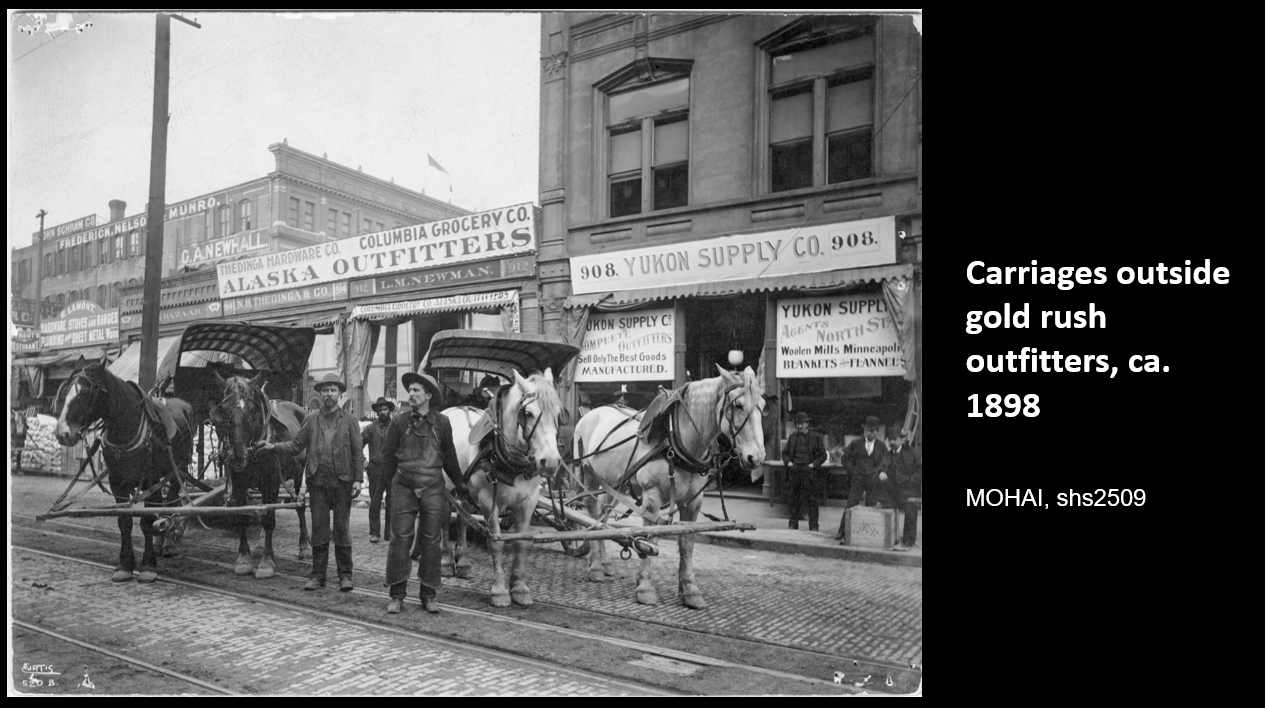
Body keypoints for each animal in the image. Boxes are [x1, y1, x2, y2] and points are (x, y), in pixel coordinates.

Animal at [54, 354, 193, 581]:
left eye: (84, 392)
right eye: (65, 392)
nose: (62, 433)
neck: (127, 426)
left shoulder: (151, 481)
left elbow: (146, 521)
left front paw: (148, 565)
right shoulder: (117, 481)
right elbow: (124, 521)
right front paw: (125, 564)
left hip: (177, 470)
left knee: (173, 503)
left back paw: (168, 542)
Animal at [209, 371, 311, 576]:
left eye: (252, 410)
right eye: (223, 409)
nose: (238, 456)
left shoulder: (271, 480)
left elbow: (269, 518)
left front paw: (267, 562)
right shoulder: (239, 481)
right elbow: (243, 516)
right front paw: (244, 558)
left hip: (297, 475)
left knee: (299, 506)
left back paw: (304, 546)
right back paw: (259, 545)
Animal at [442, 366, 566, 606]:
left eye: (558, 414)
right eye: (528, 413)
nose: (551, 462)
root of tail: (455, 408)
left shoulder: (528, 501)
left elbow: (522, 543)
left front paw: (519, 588)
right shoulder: (488, 500)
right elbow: (496, 543)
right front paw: (499, 590)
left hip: (465, 489)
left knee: (462, 518)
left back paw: (463, 562)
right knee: (441, 519)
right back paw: (445, 561)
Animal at [576, 361, 769, 611]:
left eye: (763, 406)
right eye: (738, 404)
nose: (757, 457)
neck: (676, 439)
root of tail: (591, 412)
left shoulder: (693, 501)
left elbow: (687, 543)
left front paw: (689, 590)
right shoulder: (652, 496)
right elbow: (650, 539)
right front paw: (645, 587)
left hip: (614, 483)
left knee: (603, 515)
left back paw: (605, 562)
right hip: (590, 477)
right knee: (590, 513)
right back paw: (596, 567)